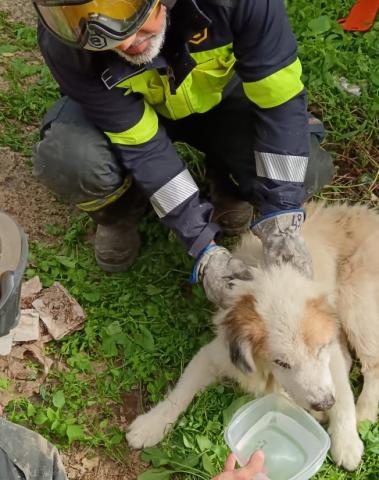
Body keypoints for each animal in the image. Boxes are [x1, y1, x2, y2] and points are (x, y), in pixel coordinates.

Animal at [127, 201, 379, 470]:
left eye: (319, 350)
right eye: (282, 362)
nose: (323, 404)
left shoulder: (330, 354)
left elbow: (343, 395)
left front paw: (347, 443)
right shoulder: (215, 354)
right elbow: (180, 392)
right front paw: (150, 425)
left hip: (355, 307)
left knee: (372, 364)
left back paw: (364, 412)